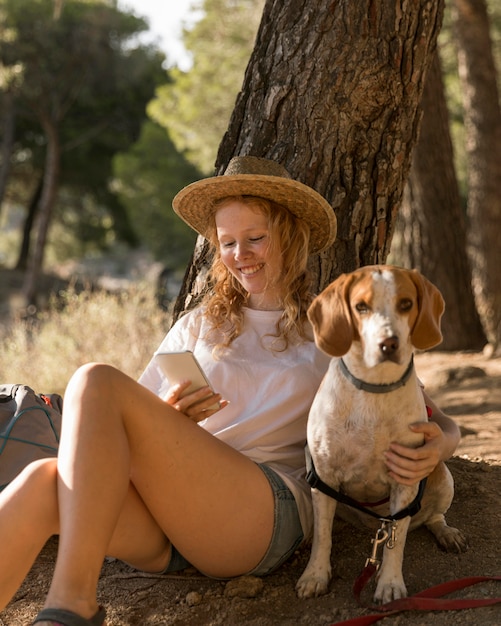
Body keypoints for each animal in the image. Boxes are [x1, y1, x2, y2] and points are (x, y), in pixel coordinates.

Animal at [296, 266, 464, 604]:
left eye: (406, 304)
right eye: (361, 306)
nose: (389, 343)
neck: (375, 387)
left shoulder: (406, 478)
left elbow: (395, 543)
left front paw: (390, 583)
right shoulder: (324, 476)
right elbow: (323, 536)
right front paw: (315, 575)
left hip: (441, 475)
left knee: (433, 517)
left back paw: (446, 533)